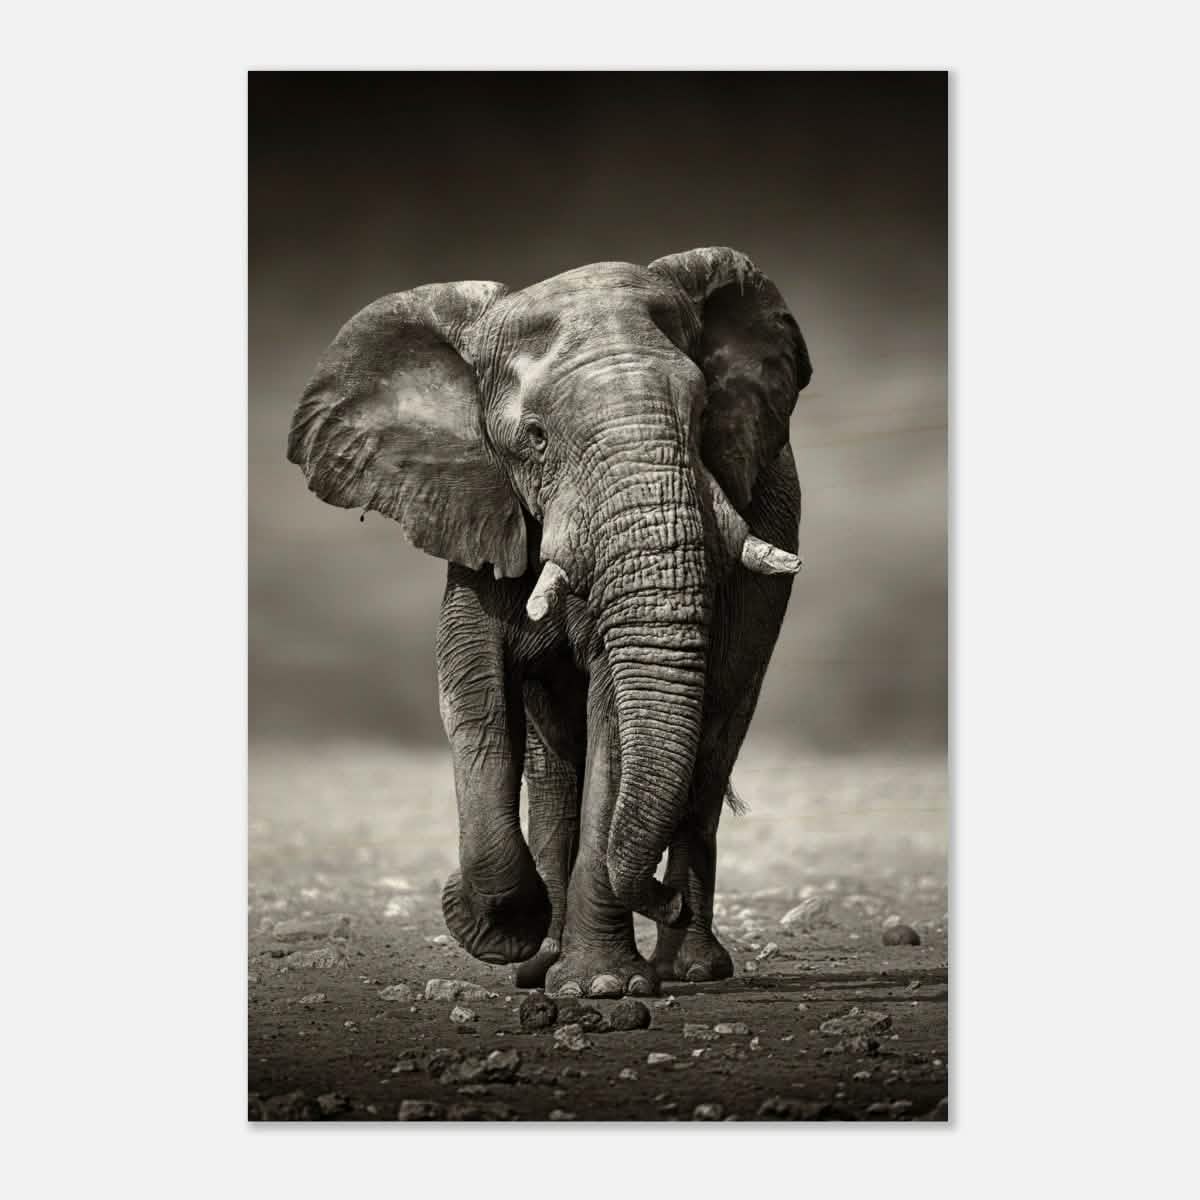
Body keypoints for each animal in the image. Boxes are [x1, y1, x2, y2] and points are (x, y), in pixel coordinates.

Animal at [287, 247, 811, 998]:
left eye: (703, 411)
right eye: (534, 438)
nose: (661, 899)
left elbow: (613, 715)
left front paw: (603, 987)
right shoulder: (477, 508)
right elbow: (472, 693)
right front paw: (500, 929)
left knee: (710, 749)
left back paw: (688, 968)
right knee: (554, 766)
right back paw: (543, 963)